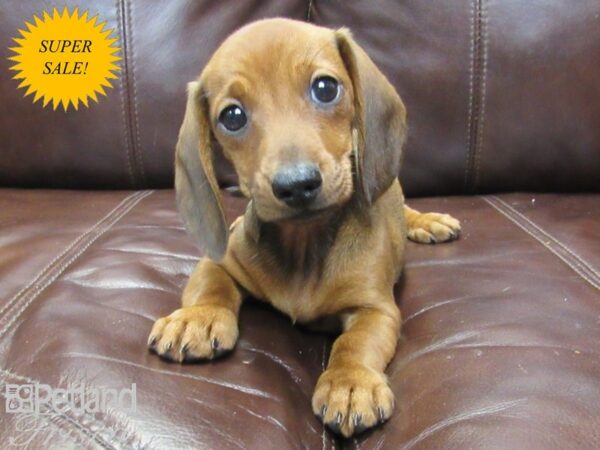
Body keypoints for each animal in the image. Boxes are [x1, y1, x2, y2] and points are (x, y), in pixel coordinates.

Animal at [149, 19, 460, 438]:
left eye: (325, 88)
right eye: (232, 116)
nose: (296, 184)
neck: (305, 245)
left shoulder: (376, 309)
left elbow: (354, 343)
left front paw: (349, 382)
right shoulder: (221, 262)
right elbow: (211, 285)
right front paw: (196, 317)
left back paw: (428, 221)